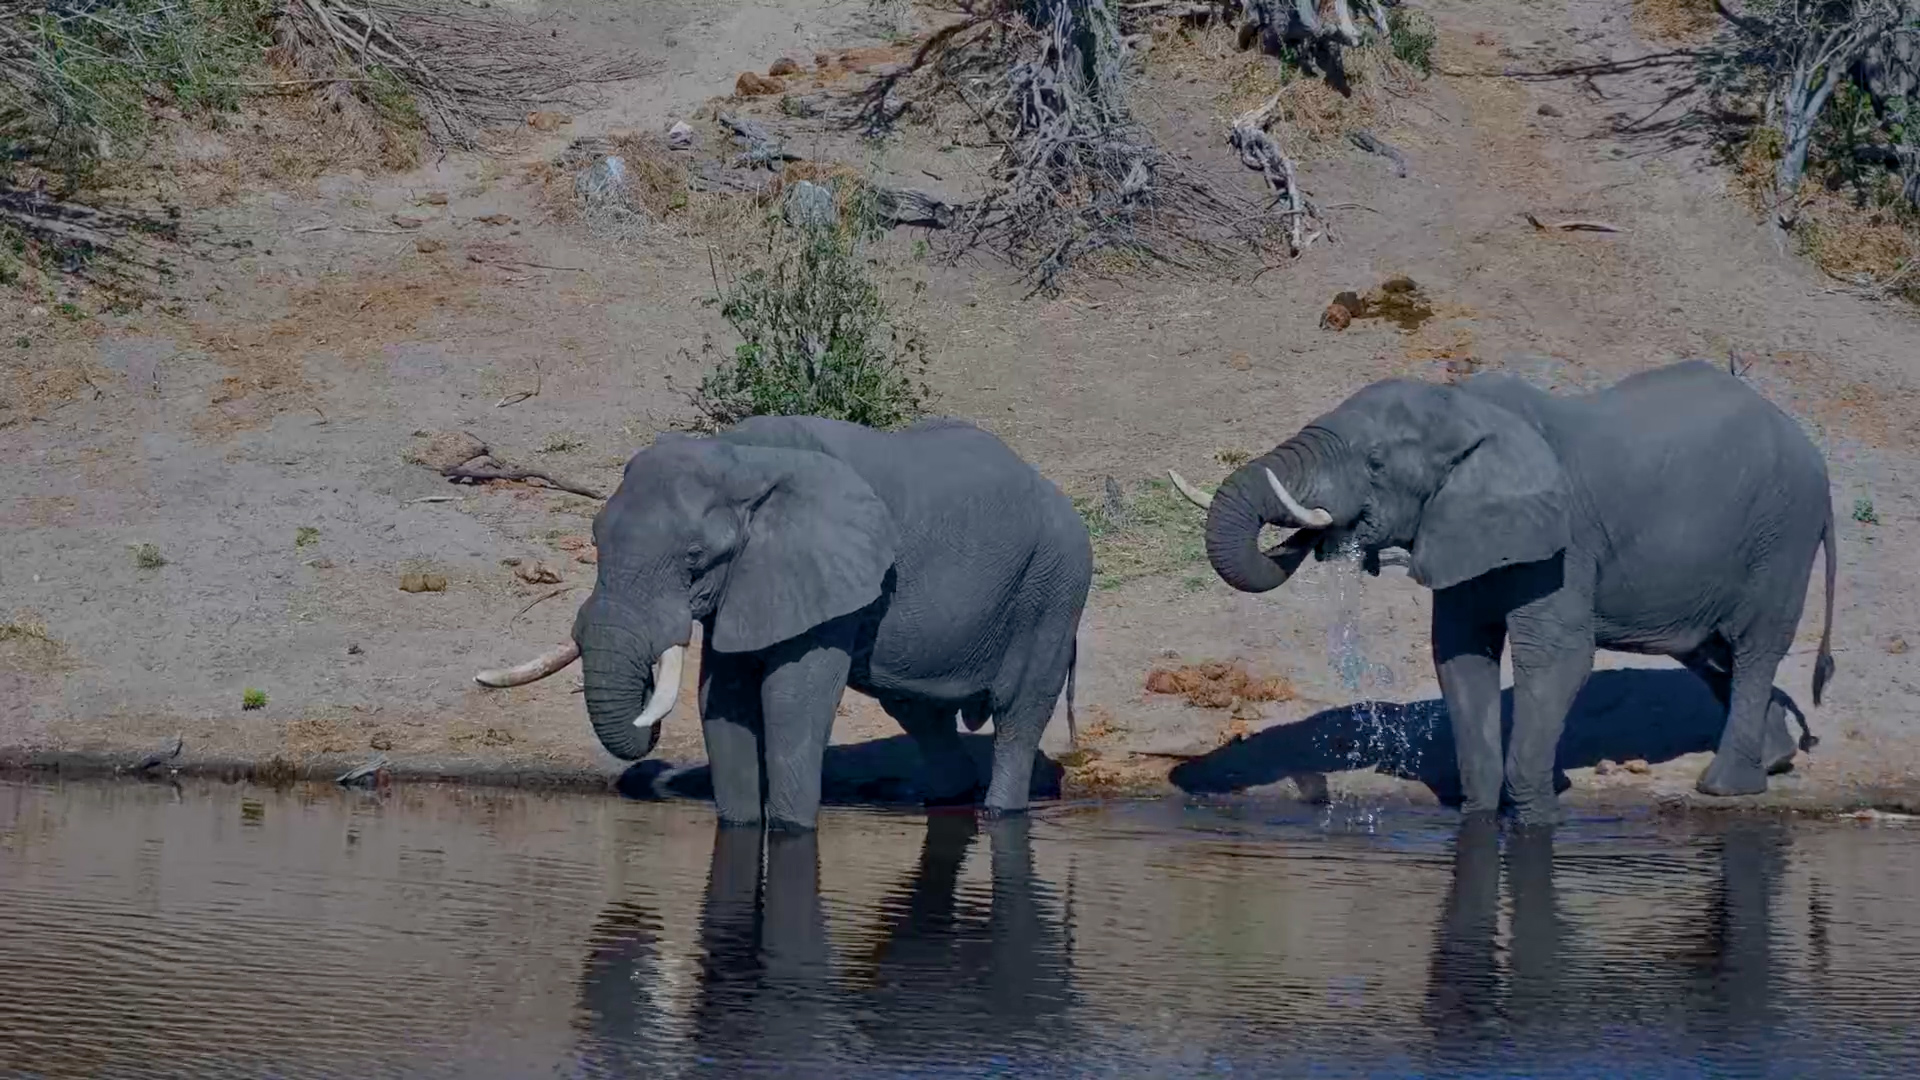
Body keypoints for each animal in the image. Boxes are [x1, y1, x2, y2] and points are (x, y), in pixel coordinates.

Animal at [477, 415, 1093, 829]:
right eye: (596, 538)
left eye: (695, 558)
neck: (742, 460)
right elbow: (722, 700)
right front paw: (741, 826)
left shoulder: (828, 574)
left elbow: (791, 700)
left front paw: (793, 831)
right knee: (919, 711)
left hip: (1055, 583)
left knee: (1019, 711)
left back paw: (1000, 810)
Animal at [1168, 360, 1837, 823]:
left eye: (1376, 462)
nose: (1316, 791)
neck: (1469, 412)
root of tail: (1810, 447)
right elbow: (1461, 656)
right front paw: (1480, 812)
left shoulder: (1564, 542)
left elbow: (1556, 659)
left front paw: (1537, 816)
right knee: (1708, 654)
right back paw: (1775, 760)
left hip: (1782, 536)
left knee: (1753, 647)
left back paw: (1727, 786)